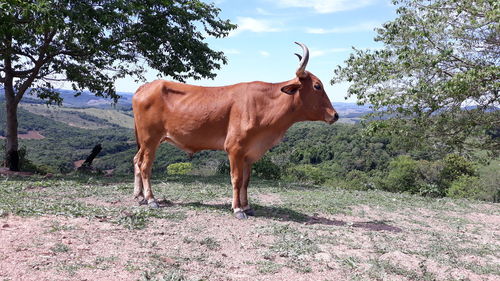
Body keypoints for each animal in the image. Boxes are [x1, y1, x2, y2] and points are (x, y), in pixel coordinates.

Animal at [132, 41, 340, 218]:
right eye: (317, 86)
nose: (335, 115)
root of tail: (147, 86)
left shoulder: (249, 153)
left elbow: (246, 181)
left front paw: (247, 206)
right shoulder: (234, 149)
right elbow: (236, 179)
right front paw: (238, 209)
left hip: (145, 141)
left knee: (136, 161)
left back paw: (139, 196)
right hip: (150, 139)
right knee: (145, 166)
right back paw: (151, 199)